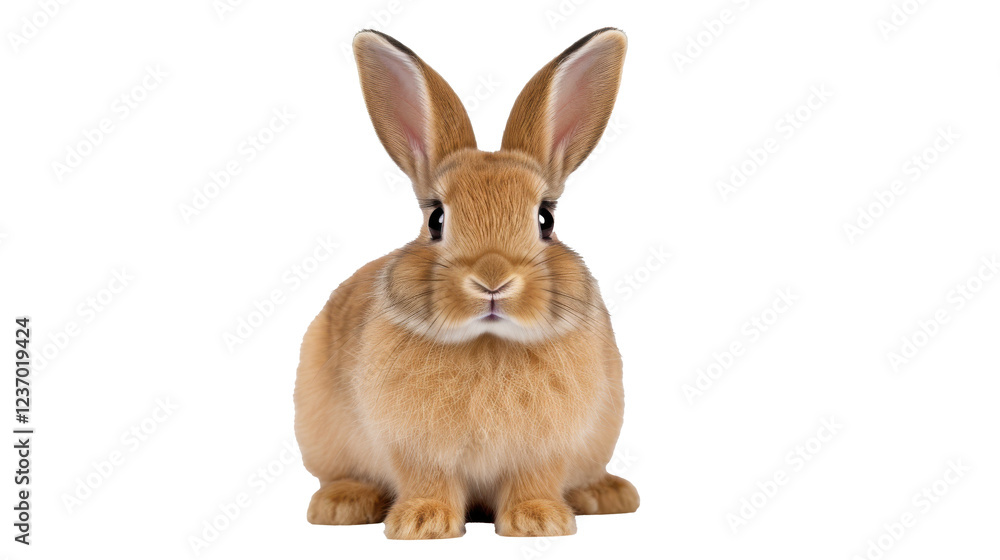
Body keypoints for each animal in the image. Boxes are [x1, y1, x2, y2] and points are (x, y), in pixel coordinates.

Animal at [294, 27, 637, 539]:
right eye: (436, 219)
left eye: (546, 219)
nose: (492, 280)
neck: (487, 341)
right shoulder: (415, 447)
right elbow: (428, 479)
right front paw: (422, 523)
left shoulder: (546, 449)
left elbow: (534, 479)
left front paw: (539, 521)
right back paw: (342, 504)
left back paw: (607, 494)